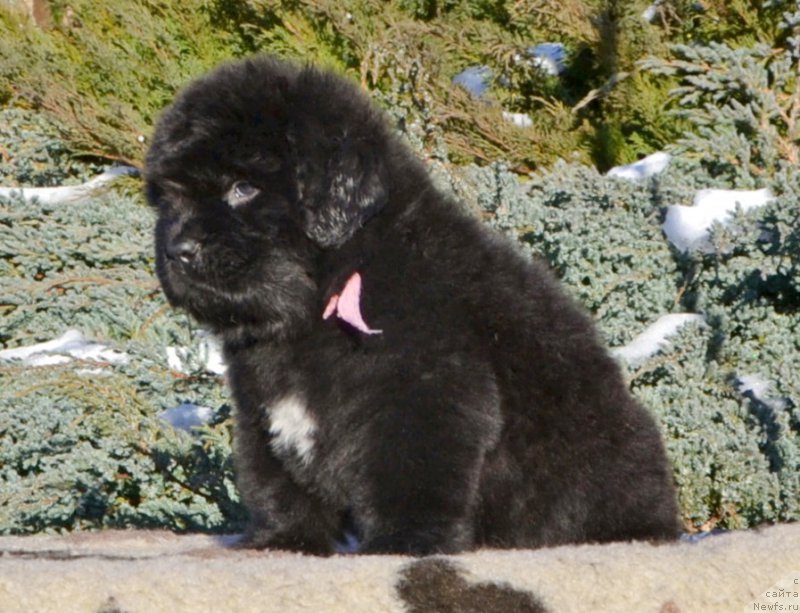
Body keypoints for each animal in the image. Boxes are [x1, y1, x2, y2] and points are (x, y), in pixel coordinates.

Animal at [145, 57, 680, 556]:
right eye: (169, 198)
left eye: (243, 188)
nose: (177, 251)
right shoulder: (261, 412)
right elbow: (275, 485)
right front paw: (281, 542)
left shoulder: (425, 394)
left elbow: (409, 477)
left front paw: (403, 544)